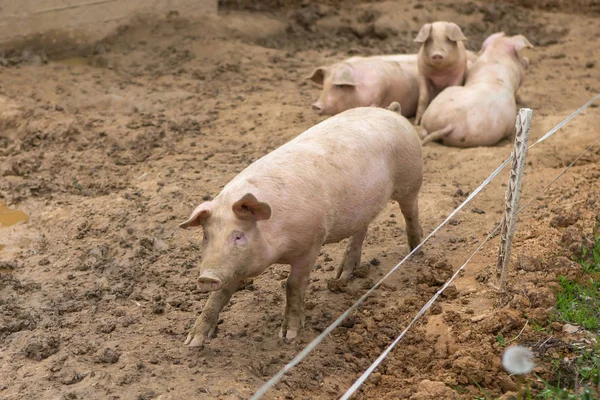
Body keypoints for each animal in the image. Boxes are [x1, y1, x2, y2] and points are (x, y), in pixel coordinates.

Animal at [180, 103, 424, 346]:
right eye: (206, 237)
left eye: (238, 236)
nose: (206, 277)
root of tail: (391, 111)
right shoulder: (235, 265)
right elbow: (219, 295)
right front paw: (192, 341)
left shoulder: (311, 244)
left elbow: (293, 285)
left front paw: (288, 335)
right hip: (364, 205)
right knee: (360, 230)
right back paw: (342, 275)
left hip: (411, 179)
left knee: (410, 213)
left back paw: (416, 253)